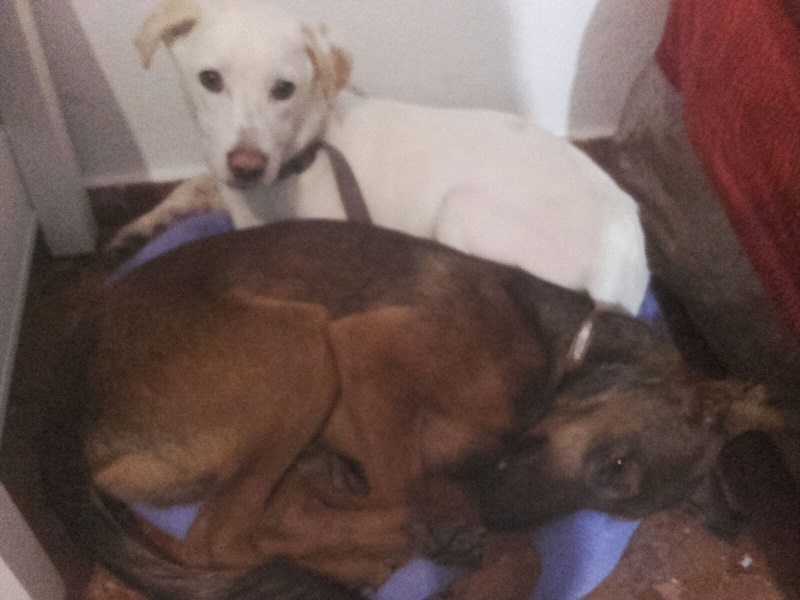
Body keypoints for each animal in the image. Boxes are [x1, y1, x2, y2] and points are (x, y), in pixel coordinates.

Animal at [44, 220, 782, 600]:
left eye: (612, 506)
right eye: (616, 464)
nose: (495, 514)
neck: (558, 355)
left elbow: (519, 551)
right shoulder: (363, 352)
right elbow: (410, 486)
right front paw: (447, 527)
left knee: (250, 526)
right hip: (303, 345)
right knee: (218, 538)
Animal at [110, 0, 649, 315]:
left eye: (285, 89)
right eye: (210, 80)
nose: (248, 165)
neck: (304, 152)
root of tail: (629, 270)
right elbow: (192, 184)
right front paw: (140, 227)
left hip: (462, 211)